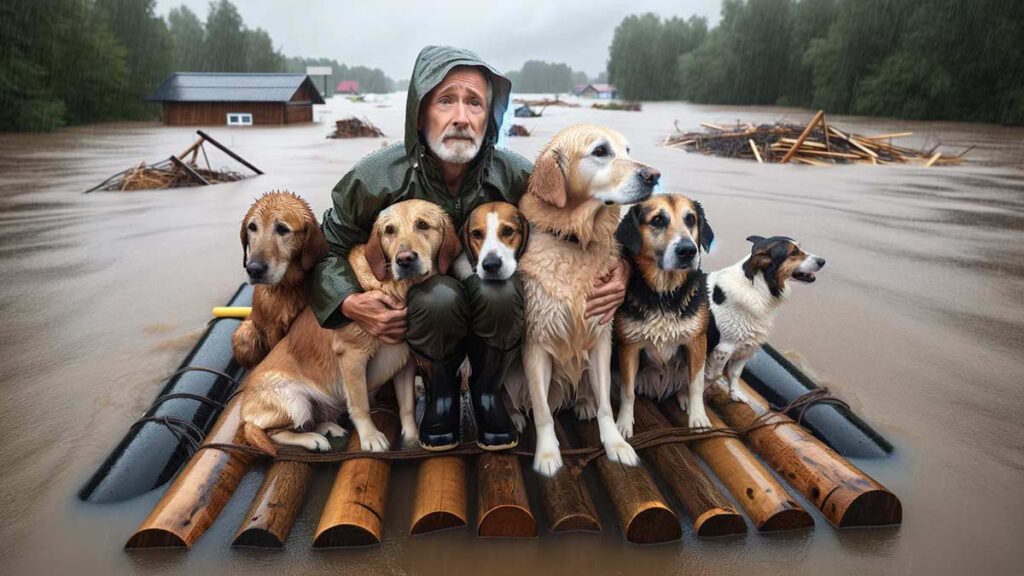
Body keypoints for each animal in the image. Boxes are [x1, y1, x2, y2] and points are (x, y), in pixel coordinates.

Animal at [233, 190, 325, 364]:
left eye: (282, 228)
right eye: (252, 227)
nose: (254, 269)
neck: (287, 287)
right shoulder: (272, 329)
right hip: (245, 333)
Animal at [241, 199, 458, 450]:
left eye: (422, 225)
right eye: (389, 230)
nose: (404, 259)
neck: (395, 288)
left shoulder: (405, 363)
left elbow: (407, 406)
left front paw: (412, 438)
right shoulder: (352, 358)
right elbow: (361, 405)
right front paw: (371, 437)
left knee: (310, 421)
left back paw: (328, 428)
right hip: (295, 401)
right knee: (270, 431)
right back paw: (313, 440)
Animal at [505, 124, 663, 475]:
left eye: (627, 150)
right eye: (600, 151)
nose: (654, 175)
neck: (575, 240)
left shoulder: (600, 336)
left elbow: (606, 404)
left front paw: (615, 444)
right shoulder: (536, 342)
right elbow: (542, 411)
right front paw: (547, 455)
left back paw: (584, 403)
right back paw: (512, 415)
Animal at [610, 190, 716, 432]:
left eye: (691, 219)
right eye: (658, 220)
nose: (688, 250)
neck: (665, 294)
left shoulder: (697, 341)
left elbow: (696, 385)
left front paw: (698, 417)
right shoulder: (628, 347)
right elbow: (627, 392)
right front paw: (623, 424)